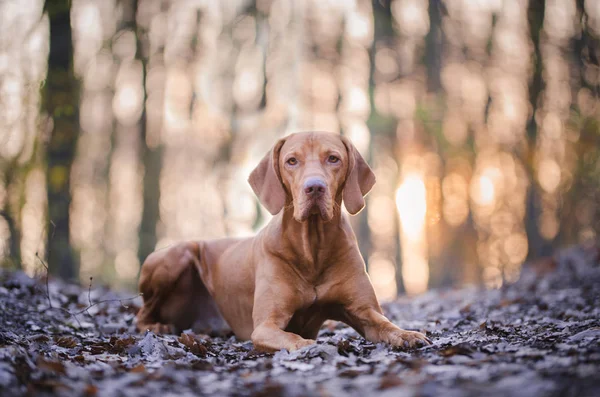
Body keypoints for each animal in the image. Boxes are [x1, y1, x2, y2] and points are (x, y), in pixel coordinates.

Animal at [135, 131, 432, 352]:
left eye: (333, 158)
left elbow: (386, 325)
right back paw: (157, 327)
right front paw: (309, 345)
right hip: (177, 255)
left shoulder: (364, 311)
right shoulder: (266, 325)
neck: (313, 248)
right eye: (291, 161)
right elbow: (292, 338)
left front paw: (407, 334)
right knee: (141, 314)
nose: (314, 187)